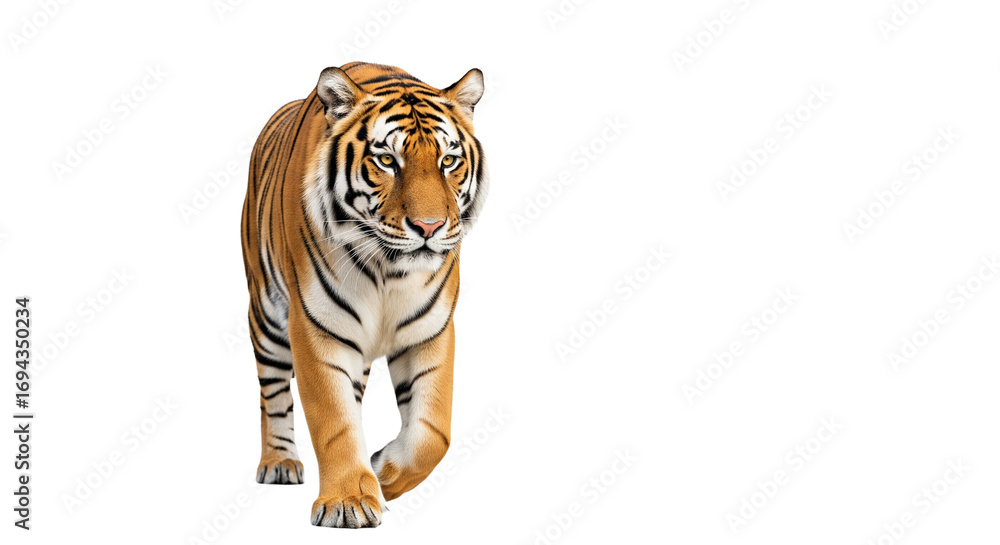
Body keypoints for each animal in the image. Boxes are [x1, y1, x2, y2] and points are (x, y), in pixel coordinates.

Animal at [240, 62, 488, 528]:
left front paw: (381, 473)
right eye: (387, 160)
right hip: (265, 313)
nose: (428, 227)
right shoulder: (316, 329)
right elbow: (334, 421)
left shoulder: (430, 331)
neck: (390, 270)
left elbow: (432, 432)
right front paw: (348, 502)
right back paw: (280, 463)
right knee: (273, 393)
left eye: (448, 161)